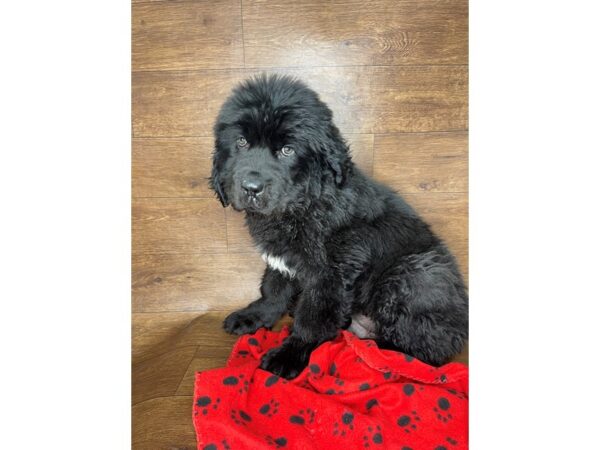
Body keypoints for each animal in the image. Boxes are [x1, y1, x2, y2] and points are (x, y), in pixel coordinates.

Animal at [211, 74, 468, 380]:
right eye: (241, 142)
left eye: (287, 150)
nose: (251, 187)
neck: (302, 204)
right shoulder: (281, 261)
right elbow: (273, 290)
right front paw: (253, 317)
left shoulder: (330, 273)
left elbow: (312, 317)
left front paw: (290, 353)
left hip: (415, 271)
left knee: (426, 350)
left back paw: (374, 350)